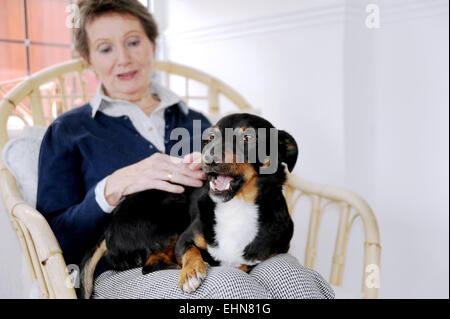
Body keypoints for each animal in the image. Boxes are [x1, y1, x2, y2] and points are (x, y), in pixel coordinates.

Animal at [80, 114, 298, 298]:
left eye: (248, 138)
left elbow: (244, 265)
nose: (208, 158)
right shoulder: (184, 239)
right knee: (150, 265)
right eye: (211, 137)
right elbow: (190, 251)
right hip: (169, 218)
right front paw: (191, 272)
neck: (237, 205)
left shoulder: (271, 253)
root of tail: (108, 227)